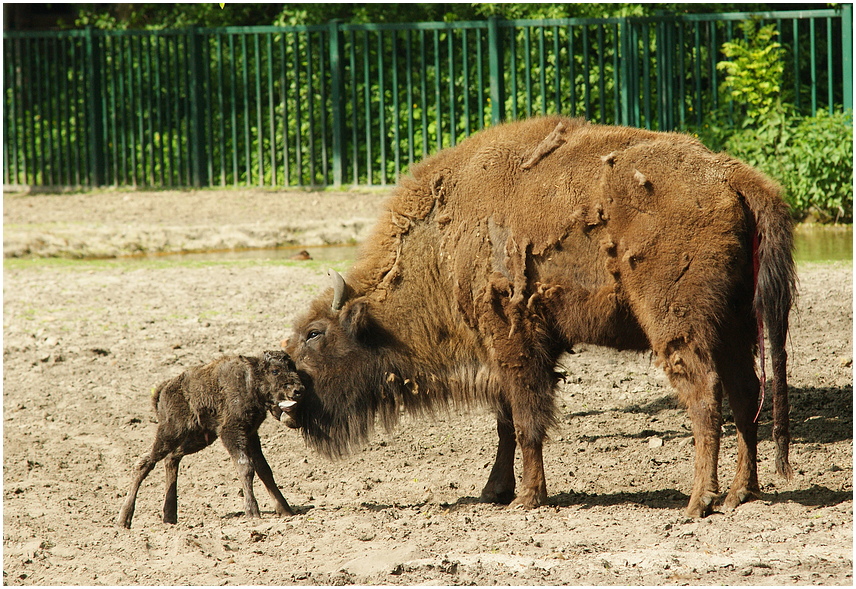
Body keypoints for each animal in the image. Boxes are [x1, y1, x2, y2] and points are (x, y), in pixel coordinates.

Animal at [116, 350, 304, 528]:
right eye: (275, 370)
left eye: (292, 367)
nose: (298, 390)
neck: (249, 379)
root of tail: (163, 389)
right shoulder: (231, 432)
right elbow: (245, 467)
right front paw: (253, 512)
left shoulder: (250, 434)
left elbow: (264, 470)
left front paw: (286, 510)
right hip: (171, 433)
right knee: (145, 462)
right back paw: (124, 519)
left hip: (198, 438)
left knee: (171, 458)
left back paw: (169, 516)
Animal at [282, 113, 796, 516]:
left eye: (314, 334)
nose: (290, 399)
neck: (442, 241)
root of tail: (732, 176)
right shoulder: (506, 348)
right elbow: (506, 420)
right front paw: (496, 490)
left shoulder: (514, 339)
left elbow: (527, 419)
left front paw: (528, 497)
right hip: (736, 324)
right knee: (747, 393)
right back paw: (740, 493)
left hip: (678, 324)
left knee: (705, 394)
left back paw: (698, 502)